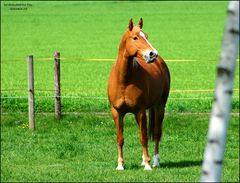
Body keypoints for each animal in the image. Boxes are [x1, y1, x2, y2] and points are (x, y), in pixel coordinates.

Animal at [108, 18, 170, 170]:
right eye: (135, 37)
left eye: (146, 36)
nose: (152, 54)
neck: (124, 80)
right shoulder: (116, 112)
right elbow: (120, 138)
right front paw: (120, 165)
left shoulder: (140, 111)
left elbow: (144, 138)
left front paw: (147, 165)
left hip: (159, 106)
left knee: (156, 133)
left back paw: (155, 161)